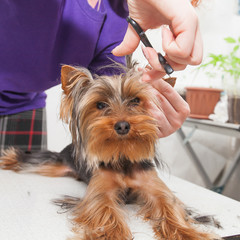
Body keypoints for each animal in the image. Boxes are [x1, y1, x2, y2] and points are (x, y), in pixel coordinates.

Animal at [0, 62, 219, 239]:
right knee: (35, 160)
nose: (122, 125)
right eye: (100, 104)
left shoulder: (156, 189)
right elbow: (103, 209)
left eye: (136, 100)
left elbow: (170, 208)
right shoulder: (100, 191)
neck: (122, 156)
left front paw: (187, 233)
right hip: (57, 163)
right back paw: (8, 158)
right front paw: (111, 234)